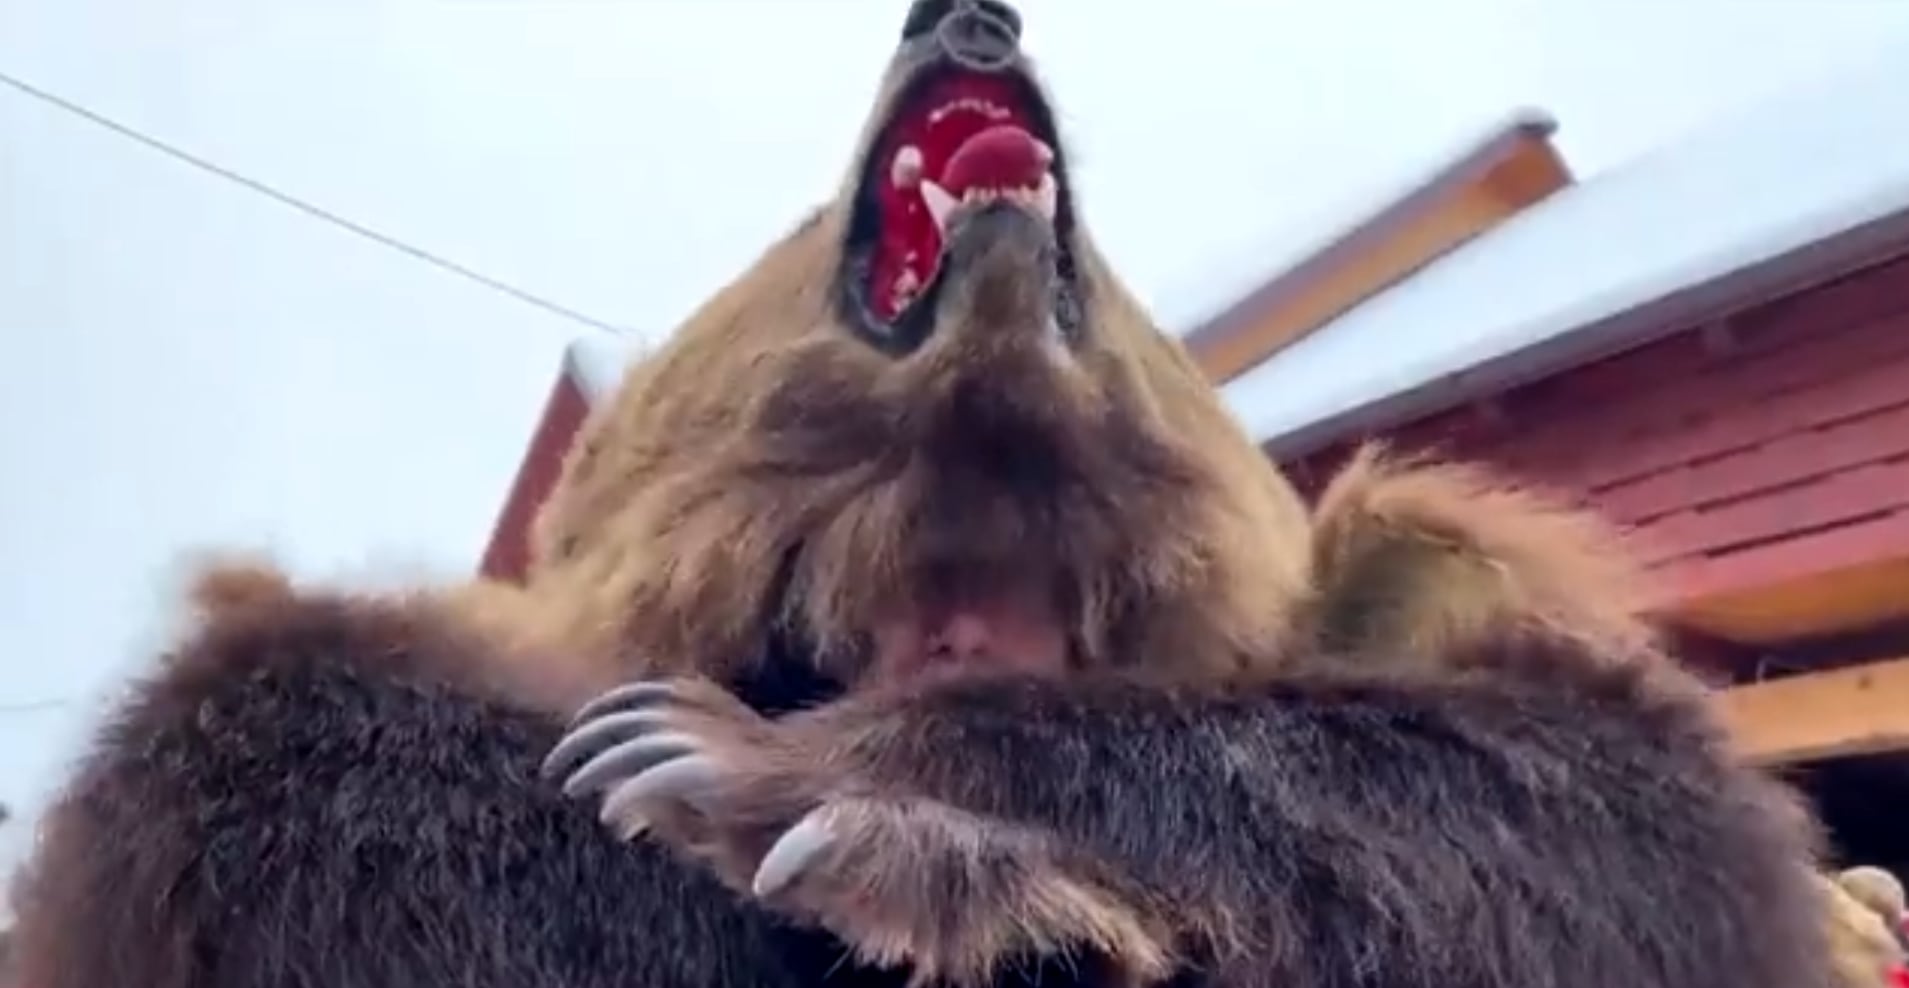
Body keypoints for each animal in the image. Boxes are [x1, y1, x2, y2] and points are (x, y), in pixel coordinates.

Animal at [7, 1, 1830, 987]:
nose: (966, 14)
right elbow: (321, 750)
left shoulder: (1427, 613)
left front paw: (805, 791)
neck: (956, 512)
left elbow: (1604, 789)